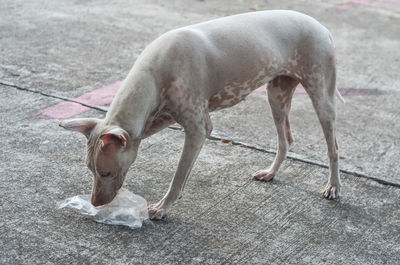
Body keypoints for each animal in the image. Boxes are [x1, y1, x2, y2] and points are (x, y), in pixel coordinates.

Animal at [59, 10, 344, 220]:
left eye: (106, 173)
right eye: (90, 170)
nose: (95, 203)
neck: (155, 72)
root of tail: (323, 27)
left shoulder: (198, 129)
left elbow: (178, 176)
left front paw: (162, 207)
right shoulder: (158, 119)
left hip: (322, 98)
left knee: (333, 147)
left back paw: (334, 186)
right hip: (276, 95)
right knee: (285, 140)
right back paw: (270, 172)